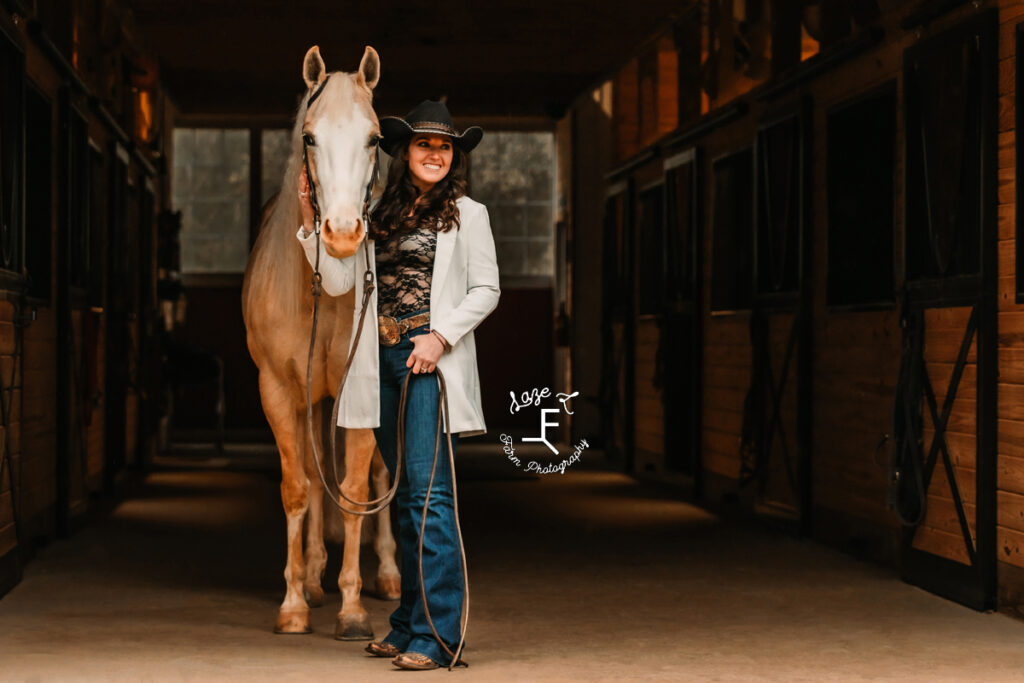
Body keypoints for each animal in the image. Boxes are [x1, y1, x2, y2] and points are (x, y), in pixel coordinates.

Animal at [240, 45, 399, 638]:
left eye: (375, 138)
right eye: (309, 137)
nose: (342, 233)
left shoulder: (362, 390)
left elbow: (353, 491)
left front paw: (352, 607)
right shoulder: (278, 390)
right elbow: (298, 487)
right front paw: (293, 602)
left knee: (377, 476)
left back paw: (389, 575)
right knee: (311, 474)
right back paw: (310, 577)